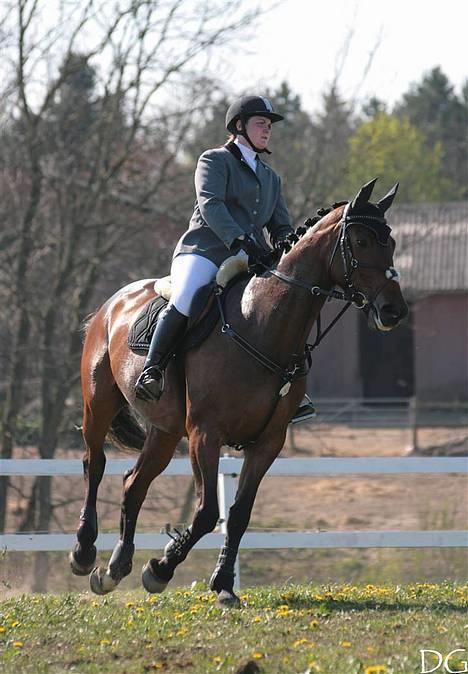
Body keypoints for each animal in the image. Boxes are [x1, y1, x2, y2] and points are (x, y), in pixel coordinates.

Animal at [68, 177, 406, 604]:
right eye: (361, 242)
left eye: (390, 242)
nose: (394, 311)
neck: (261, 323)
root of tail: (113, 302)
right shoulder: (205, 434)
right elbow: (208, 512)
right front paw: (160, 569)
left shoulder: (268, 442)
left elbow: (240, 514)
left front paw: (223, 583)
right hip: (99, 403)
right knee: (94, 464)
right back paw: (84, 553)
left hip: (165, 431)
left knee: (134, 484)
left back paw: (114, 569)